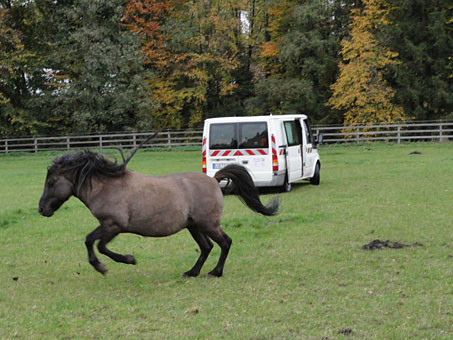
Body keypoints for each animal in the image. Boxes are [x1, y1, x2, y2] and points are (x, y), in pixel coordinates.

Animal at [38, 139, 278, 278]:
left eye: (51, 182)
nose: (42, 209)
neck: (107, 185)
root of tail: (213, 179)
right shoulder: (109, 226)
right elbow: (95, 243)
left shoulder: (113, 225)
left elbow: (95, 244)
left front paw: (116, 262)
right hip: (194, 226)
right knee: (207, 247)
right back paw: (192, 272)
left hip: (208, 224)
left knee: (225, 243)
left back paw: (215, 272)